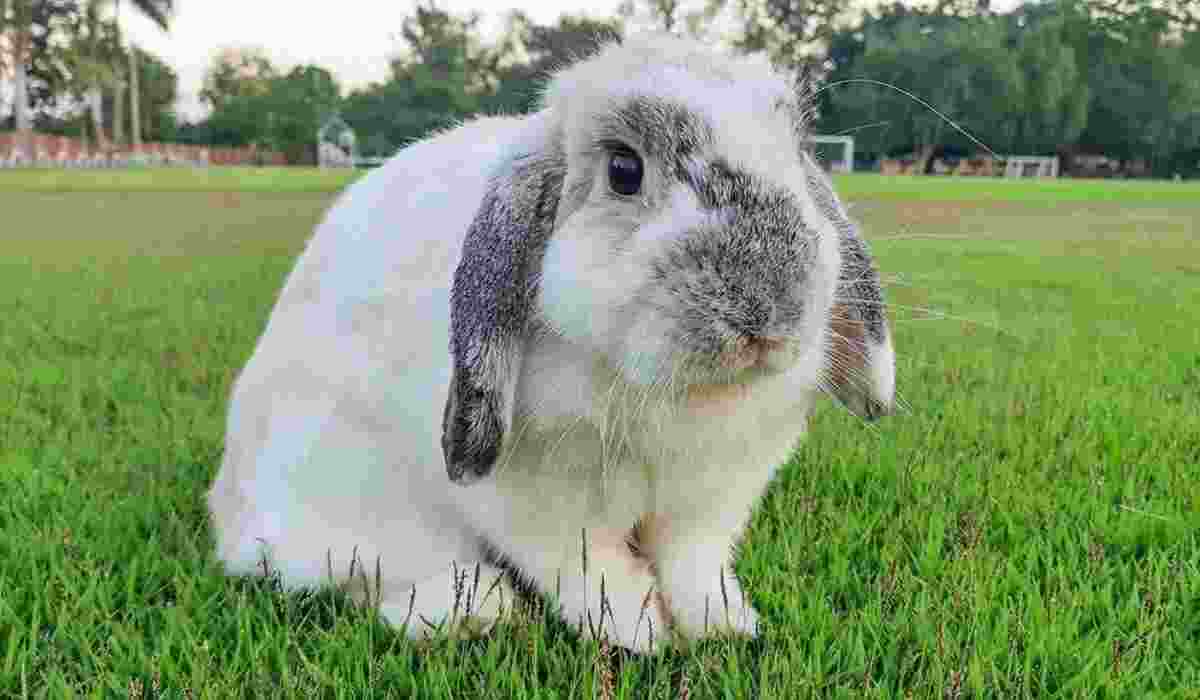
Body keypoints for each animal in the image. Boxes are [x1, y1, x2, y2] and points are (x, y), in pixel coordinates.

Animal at [211, 35, 897, 653]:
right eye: (623, 170)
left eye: (796, 153)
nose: (769, 311)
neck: (677, 395)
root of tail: (230, 511)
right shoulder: (538, 504)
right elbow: (590, 569)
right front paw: (638, 632)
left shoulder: (712, 497)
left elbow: (692, 564)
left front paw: (723, 625)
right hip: (350, 499)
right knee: (376, 572)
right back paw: (473, 611)